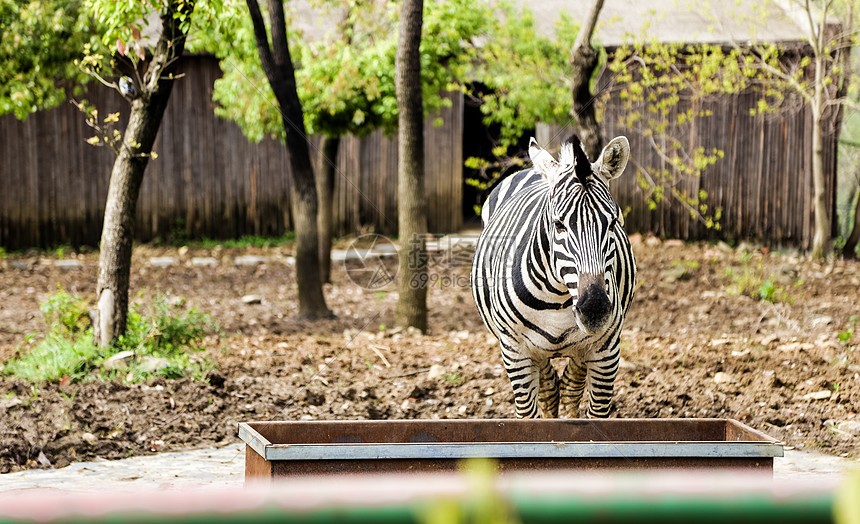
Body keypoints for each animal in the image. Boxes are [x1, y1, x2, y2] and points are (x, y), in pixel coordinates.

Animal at [474, 137, 636, 420]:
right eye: (559, 225)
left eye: (613, 222)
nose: (594, 309)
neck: (558, 299)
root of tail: (532, 170)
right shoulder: (515, 352)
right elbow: (528, 411)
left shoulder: (607, 351)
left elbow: (596, 412)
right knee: (549, 385)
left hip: (584, 349)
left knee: (570, 383)